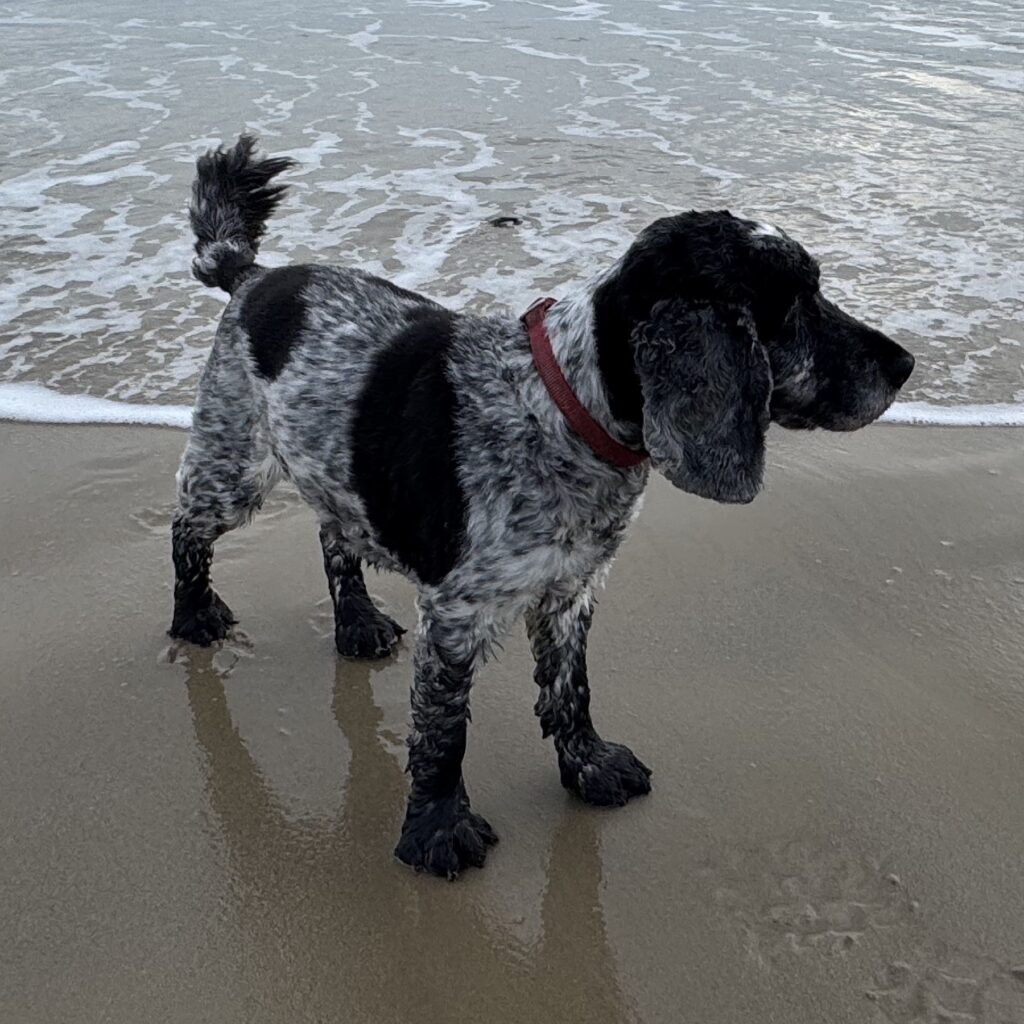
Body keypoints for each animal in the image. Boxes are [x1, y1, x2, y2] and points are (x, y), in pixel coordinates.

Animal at [172, 132, 917, 876]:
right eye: (796, 307)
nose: (906, 364)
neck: (563, 410)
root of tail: (252, 275)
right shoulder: (458, 613)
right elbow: (444, 735)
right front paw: (438, 830)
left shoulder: (571, 589)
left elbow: (570, 689)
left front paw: (588, 767)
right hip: (234, 463)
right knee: (188, 531)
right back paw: (194, 618)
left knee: (333, 534)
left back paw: (356, 622)